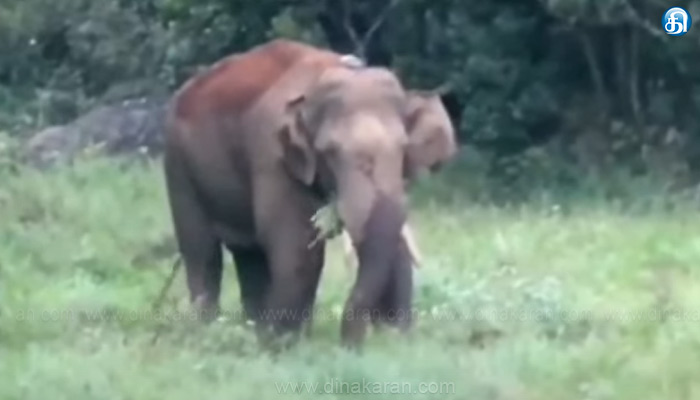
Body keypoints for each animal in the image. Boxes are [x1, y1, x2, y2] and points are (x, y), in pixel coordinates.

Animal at [163, 39, 457, 348]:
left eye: (403, 148)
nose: (351, 344)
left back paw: (252, 330)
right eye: (330, 152)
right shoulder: (271, 155)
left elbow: (395, 240)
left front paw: (397, 339)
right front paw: (283, 345)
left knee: (249, 256)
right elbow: (297, 248)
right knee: (202, 252)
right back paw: (208, 332)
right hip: (177, 165)